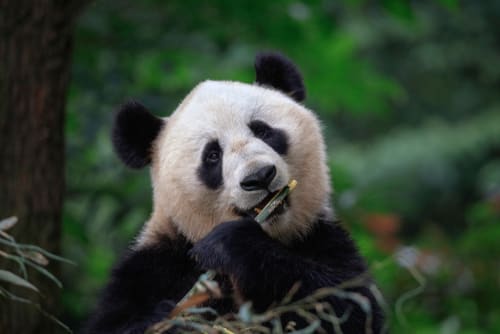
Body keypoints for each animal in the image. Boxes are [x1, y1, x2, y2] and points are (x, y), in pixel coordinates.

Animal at [85, 52, 382, 334]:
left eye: (263, 131)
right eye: (212, 155)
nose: (260, 176)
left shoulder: (323, 238)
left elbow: (345, 307)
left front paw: (230, 244)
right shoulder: (153, 267)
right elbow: (117, 321)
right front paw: (169, 319)